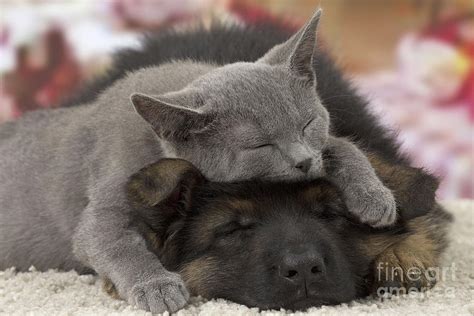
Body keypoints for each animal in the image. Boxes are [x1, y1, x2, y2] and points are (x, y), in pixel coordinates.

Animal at [0, 9, 392, 314]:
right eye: (260, 145)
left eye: (308, 124)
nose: (304, 161)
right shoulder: (107, 192)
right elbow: (115, 242)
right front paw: (157, 287)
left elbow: (343, 146)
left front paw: (375, 199)